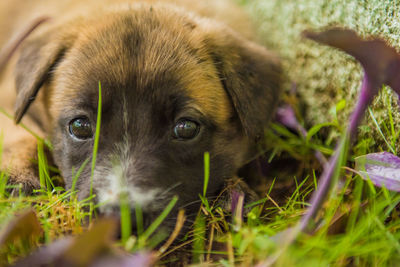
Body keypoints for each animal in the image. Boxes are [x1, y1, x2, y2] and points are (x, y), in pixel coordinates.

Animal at [0, 0, 282, 233]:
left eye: (186, 128)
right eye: (79, 126)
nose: (121, 218)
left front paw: (232, 192)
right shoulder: (9, 96)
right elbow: (18, 132)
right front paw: (18, 177)